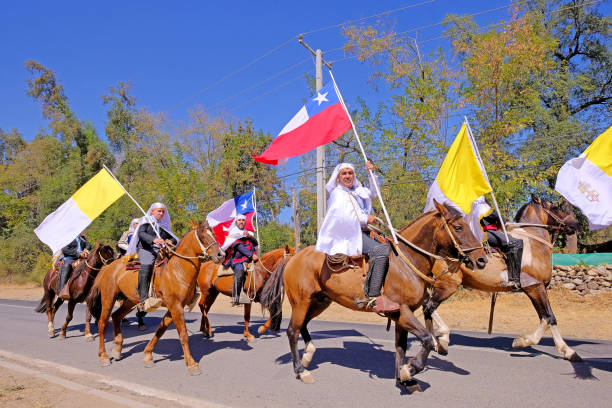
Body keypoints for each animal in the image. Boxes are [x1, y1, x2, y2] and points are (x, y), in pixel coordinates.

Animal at [87, 222, 226, 374]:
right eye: (202, 236)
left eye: (213, 233)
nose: (221, 254)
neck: (176, 270)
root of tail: (107, 267)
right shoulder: (176, 307)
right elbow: (183, 334)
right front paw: (191, 364)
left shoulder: (174, 307)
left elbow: (160, 330)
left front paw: (148, 355)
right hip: (108, 298)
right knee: (102, 323)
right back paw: (103, 356)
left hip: (130, 301)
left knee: (116, 316)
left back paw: (117, 349)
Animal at [262, 201, 488, 388]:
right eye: (458, 227)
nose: (482, 259)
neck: (406, 261)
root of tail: (294, 257)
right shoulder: (403, 312)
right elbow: (426, 339)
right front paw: (411, 369)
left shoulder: (401, 317)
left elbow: (401, 347)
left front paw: (404, 378)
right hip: (301, 301)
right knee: (293, 330)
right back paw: (302, 371)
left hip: (319, 301)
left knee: (303, 326)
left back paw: (308, 355)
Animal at [424, 194, 580, 360]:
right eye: (555, 207)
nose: (576, 224)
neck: (533, 244)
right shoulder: (535, 288)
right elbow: (549, 318)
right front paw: (522, 342)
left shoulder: (539, 289)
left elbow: (547, 318)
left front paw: (567, 351)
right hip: (448, 285)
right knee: (429, 307)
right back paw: (442, 339)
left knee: (427, 307)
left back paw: (436, 341)